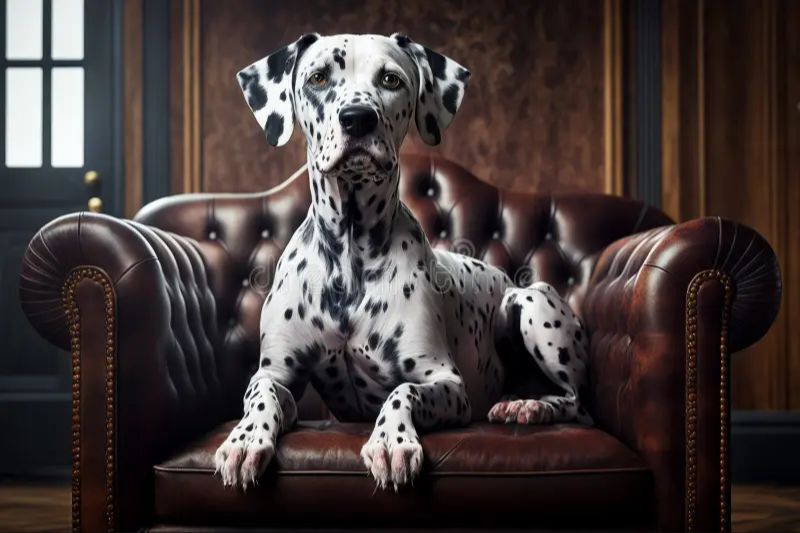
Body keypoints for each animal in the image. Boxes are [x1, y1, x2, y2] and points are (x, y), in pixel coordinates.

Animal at [216, 32, 592, 490]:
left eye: (390, 79)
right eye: (318, 77)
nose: (357, 119)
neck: (351, 253)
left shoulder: (447, 383)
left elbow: (403, 392)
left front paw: (391, 441)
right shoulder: (276, 372)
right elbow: (262, 393)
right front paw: (245, 439)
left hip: (531, 302)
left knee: (577, 403)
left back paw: (530, 407)